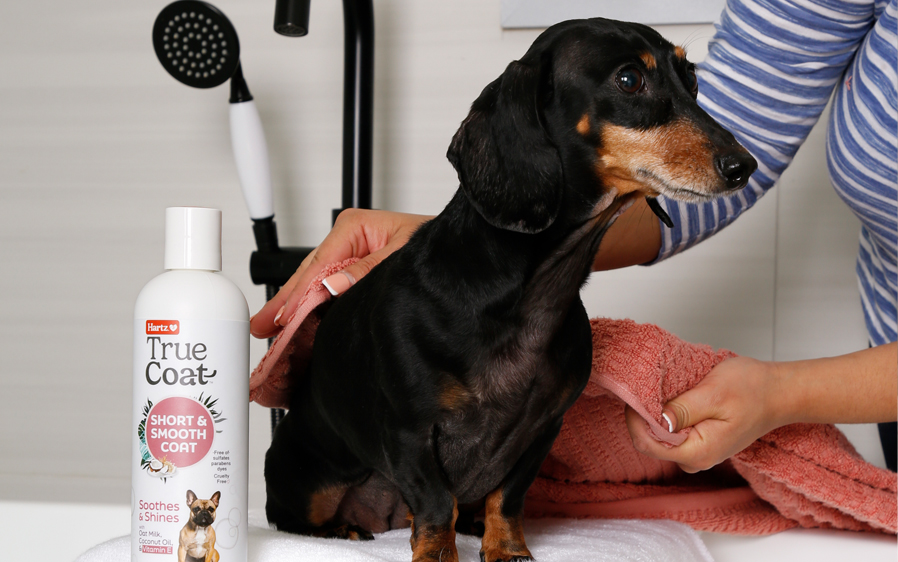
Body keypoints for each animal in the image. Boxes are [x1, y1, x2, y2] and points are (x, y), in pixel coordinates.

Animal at [264, 17, 756, 560]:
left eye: (691, 79)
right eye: (629, 80)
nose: (744, 166)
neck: (528, 297)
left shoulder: (542, 430)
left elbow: (508, 495)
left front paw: (505, 547)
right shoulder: (408, 432)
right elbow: (436, 502)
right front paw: (437, 553)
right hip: (305, 479)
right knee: (293, 516)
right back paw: (343, 530)